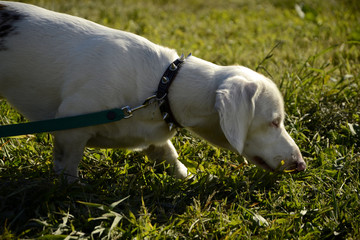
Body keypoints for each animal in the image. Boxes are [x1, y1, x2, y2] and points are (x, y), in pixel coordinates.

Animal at [0, 1, 306, 182]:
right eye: (274, 122)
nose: (301, 164)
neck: (161, 88)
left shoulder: (153, 138)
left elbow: (169, 156)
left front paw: (188, 177)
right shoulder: (71, 125)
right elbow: (67, 167)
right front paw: (71, 190)